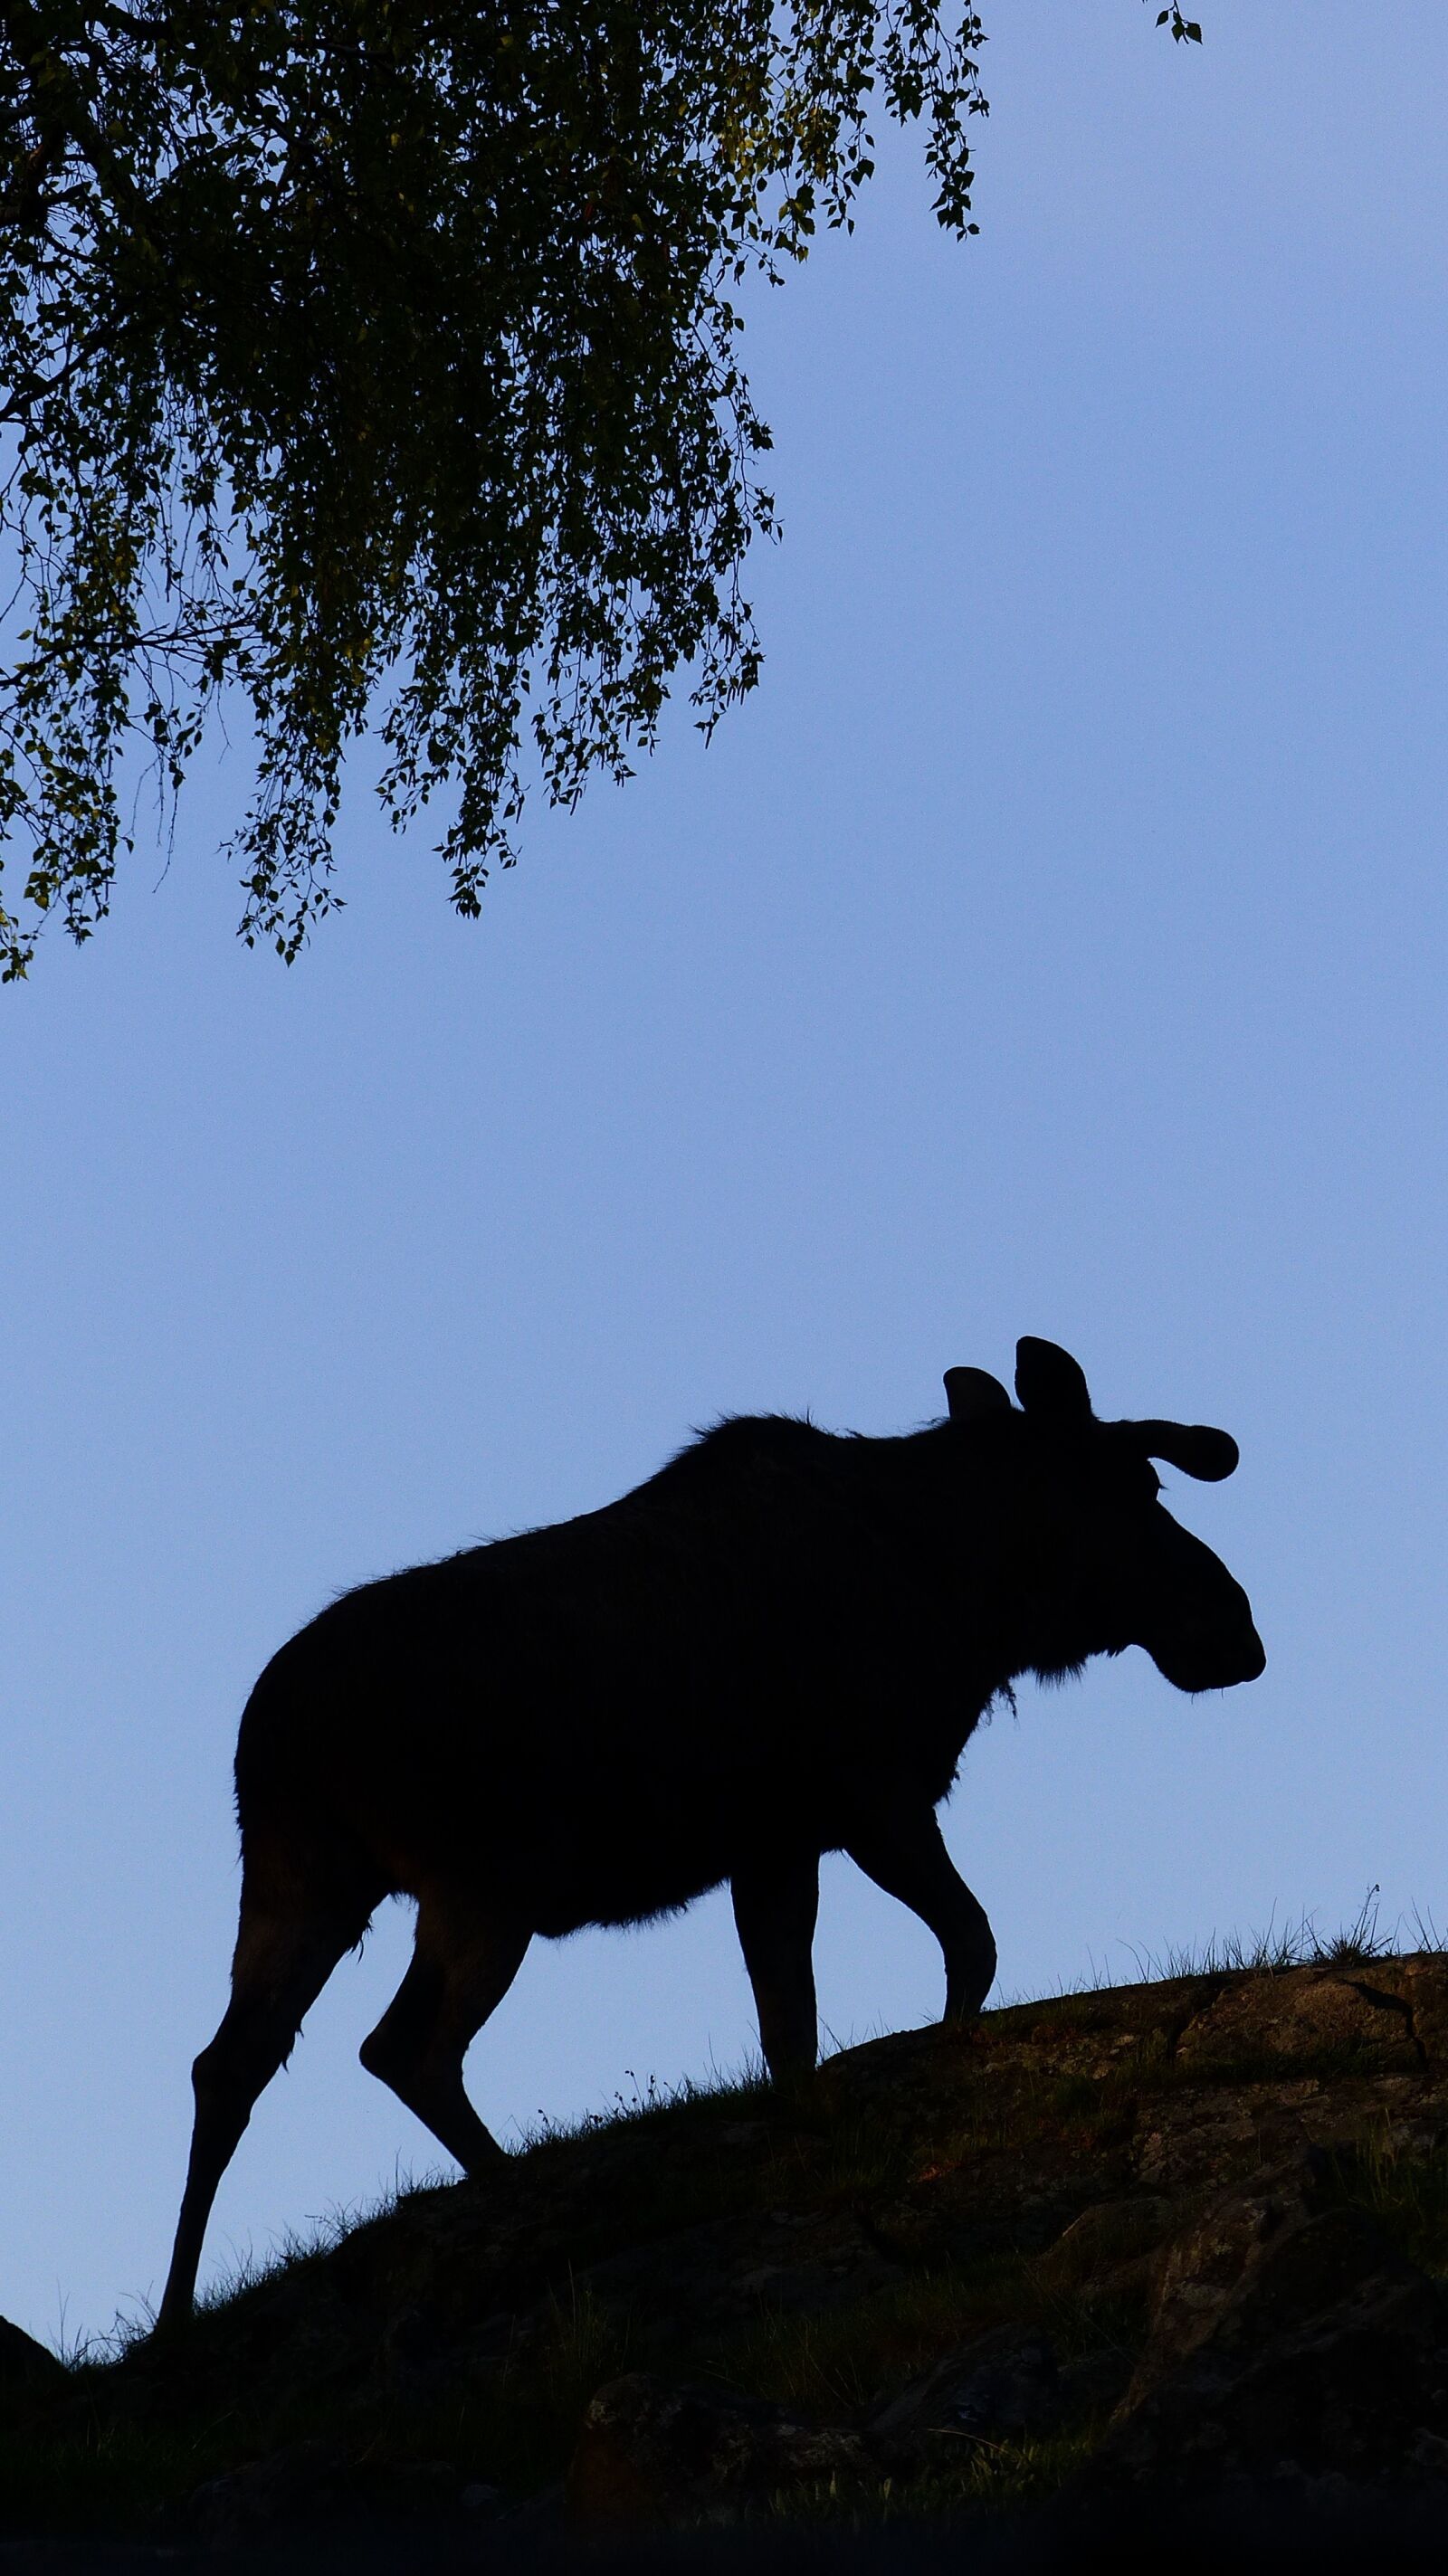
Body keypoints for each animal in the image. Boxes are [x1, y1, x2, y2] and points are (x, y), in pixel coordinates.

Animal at [157, 1337, 1264, 2326]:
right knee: (403, 2049)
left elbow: (790, 2027)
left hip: (304, 1881)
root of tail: (272, 1737)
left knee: (230, 2064)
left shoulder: (776, 1844)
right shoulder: (871, 1795)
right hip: (483, 1884)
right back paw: (511, 2197)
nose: (1237, 1630)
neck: (972, 1598)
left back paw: (173, 2316)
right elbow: (969, 1944)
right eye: (1142, 1487)